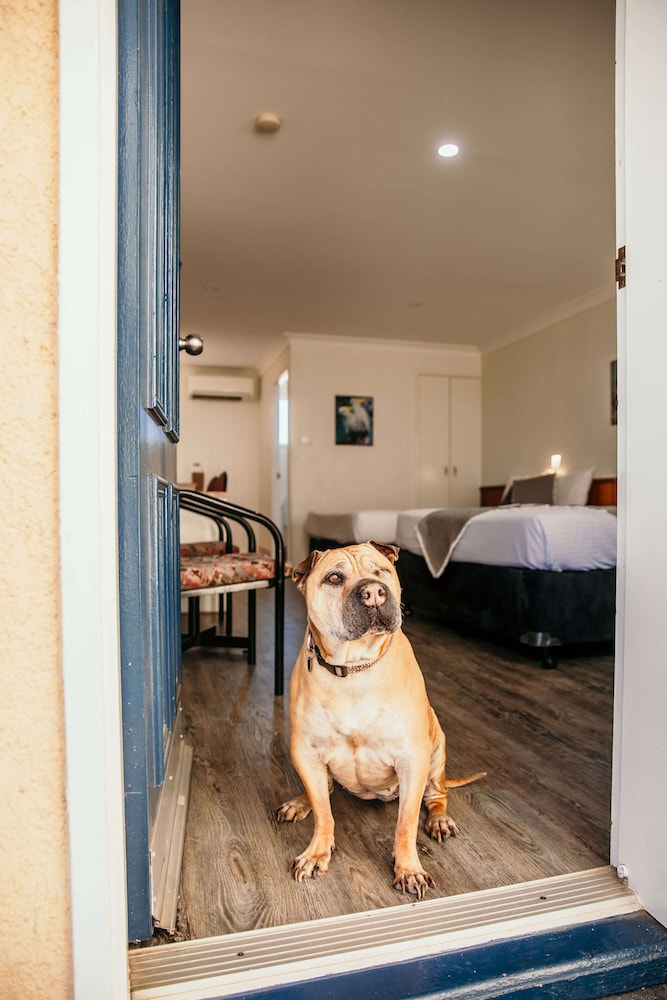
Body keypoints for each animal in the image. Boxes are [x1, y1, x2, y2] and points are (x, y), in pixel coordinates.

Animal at [277, 541, 485, 899]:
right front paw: (317, 852)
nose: (374, 592)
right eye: (334, 578)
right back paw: (301, 802)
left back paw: (439, 819)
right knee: (324, 791)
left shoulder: (412, 758)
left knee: (437, 795)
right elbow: (324, 813)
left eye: (381, 571)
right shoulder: (305, 751)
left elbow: (406, 824)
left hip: (437, 749)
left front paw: (409, 869)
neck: (355, 667)